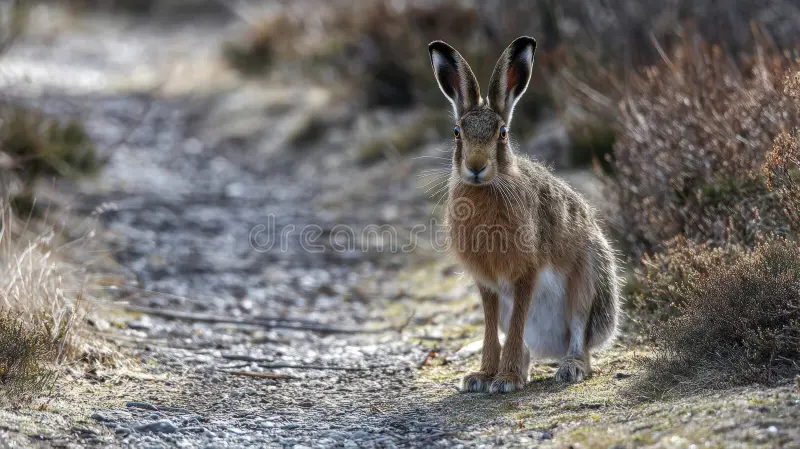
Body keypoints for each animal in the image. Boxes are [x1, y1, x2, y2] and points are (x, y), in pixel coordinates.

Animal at [428, 36, 620, 393]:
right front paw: (482, 377)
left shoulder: (526, 273)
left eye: (502, 133)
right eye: (457, 132)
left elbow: (518, 322)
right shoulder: (487, 284)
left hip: (587, 283)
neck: (492, 185)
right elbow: (490, 328)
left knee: (580, 340)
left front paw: (505, 380)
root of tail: (552, 347)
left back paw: (569, 368)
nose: (476, 167)